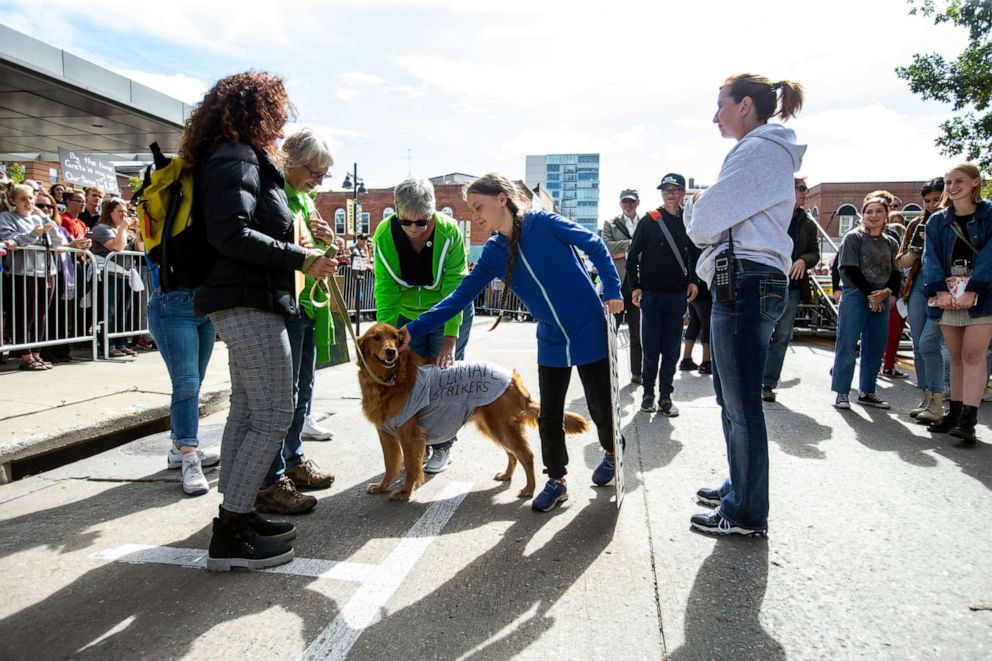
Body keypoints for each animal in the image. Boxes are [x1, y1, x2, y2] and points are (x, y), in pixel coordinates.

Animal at [358, 324, 584, 500]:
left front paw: (405, 492)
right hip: (495, 427)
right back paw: (507, 475)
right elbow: (391, 465)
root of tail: (513, 379)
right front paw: (382, 487)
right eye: (376, 337)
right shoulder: (386, 434)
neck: (391, 381)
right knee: (513, 454)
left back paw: (530, 489)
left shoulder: (409, 435)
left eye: (396, 338)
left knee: (526, 455)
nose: (391, 352)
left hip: (501, 426)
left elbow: (411, 467)